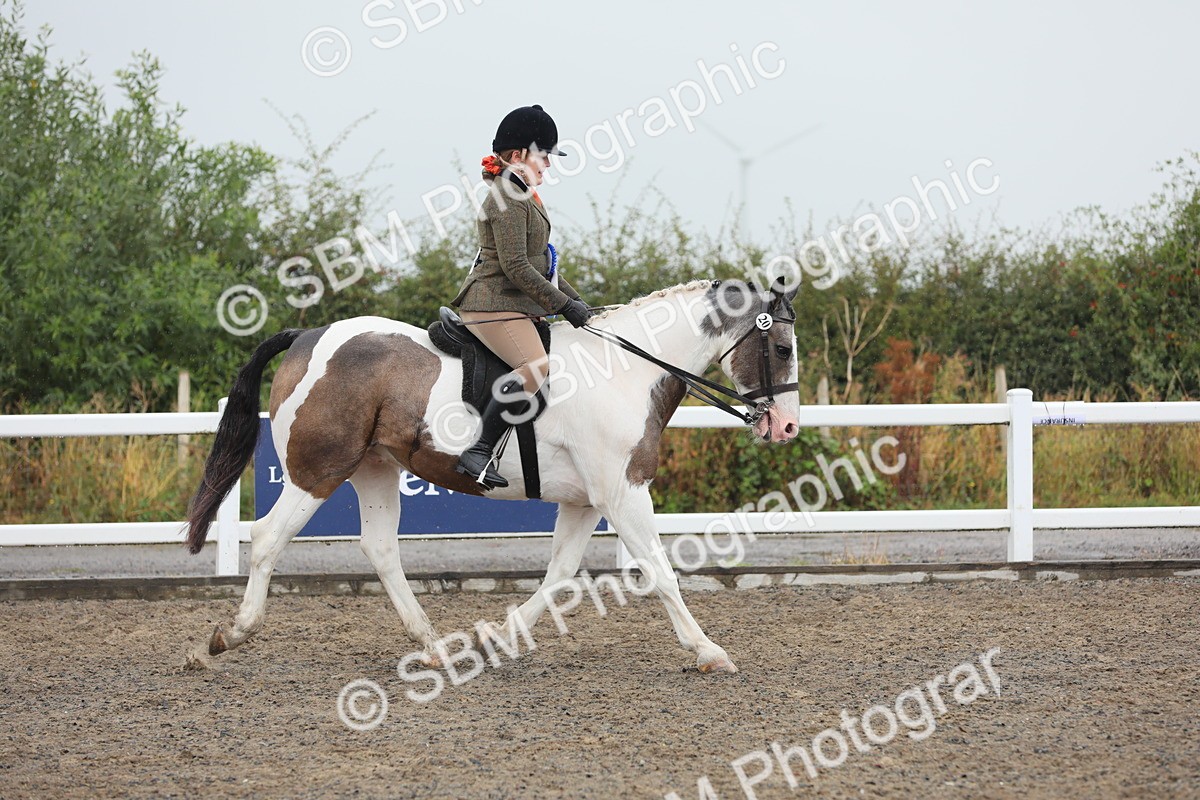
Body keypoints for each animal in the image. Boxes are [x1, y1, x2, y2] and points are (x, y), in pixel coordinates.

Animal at [186, 278, 801, 674]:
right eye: (781, 347)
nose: (787, 426)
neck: (626, 369)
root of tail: (309, 335)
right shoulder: (622, 492)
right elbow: (660, 570)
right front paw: (708, 651)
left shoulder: (585, 501)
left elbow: (560, 575)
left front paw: (497, 636)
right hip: (318, 469)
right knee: (269, 538)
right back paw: (226, 637)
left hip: (376, 469)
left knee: (380, 549)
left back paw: (435, 647)